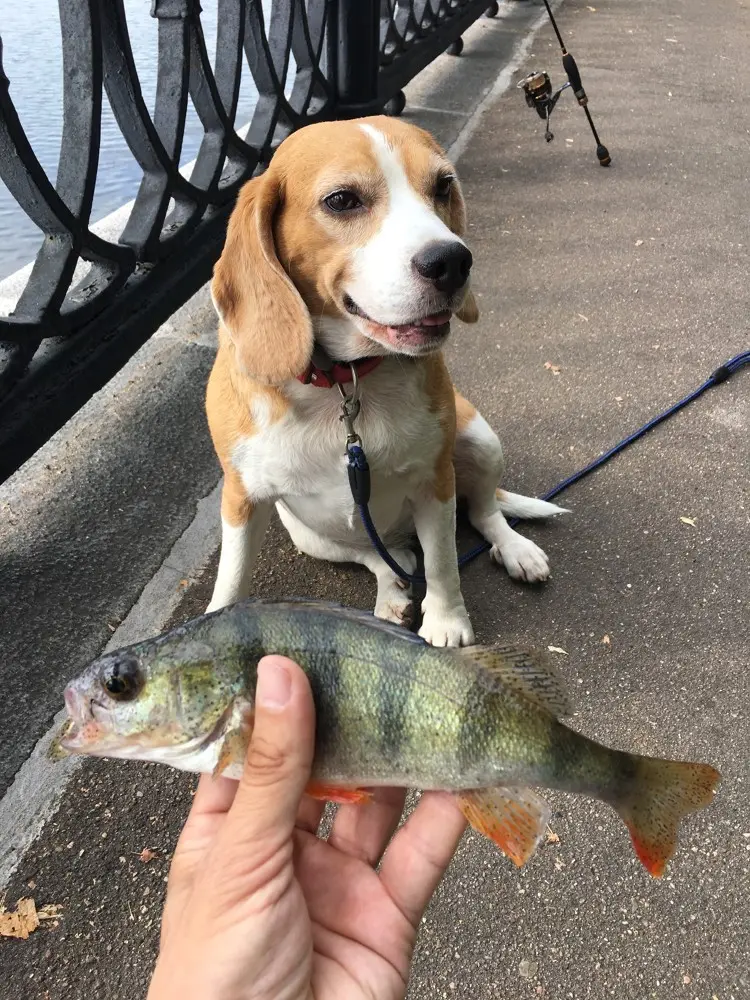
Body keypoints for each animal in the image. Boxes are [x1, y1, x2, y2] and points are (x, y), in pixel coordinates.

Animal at [203, 115, 568, 648]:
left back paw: (515, 549)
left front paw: (447, 624)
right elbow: (230, 580)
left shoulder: (435, 481)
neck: (344, 381)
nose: (453, 261)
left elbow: (442, 564)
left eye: (443, 186)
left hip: (480, 440)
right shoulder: (240, 499)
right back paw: (390, 590)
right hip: (310, 535)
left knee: (482, 512)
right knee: (377, 555)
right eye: (342, 200)